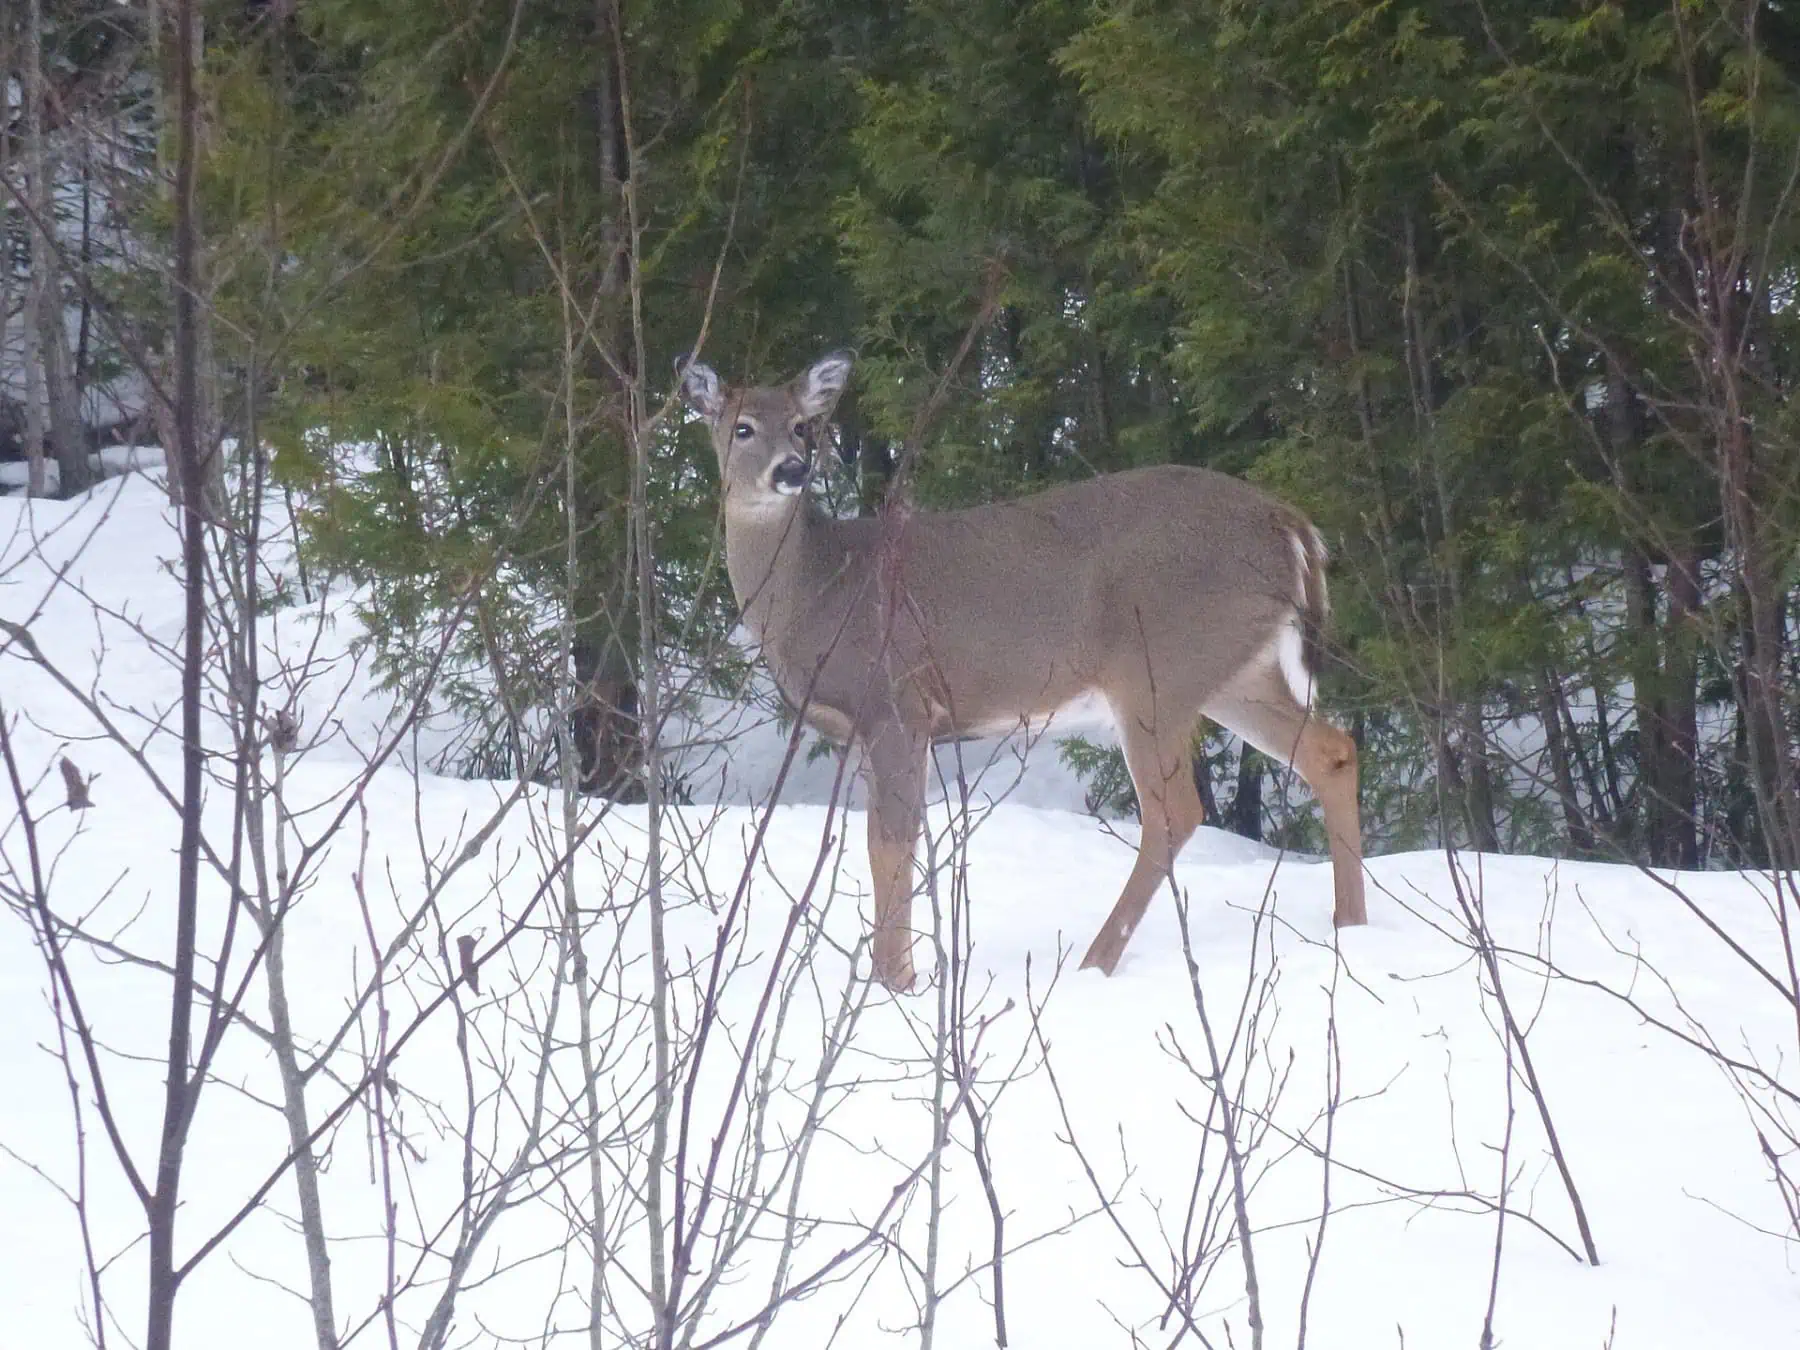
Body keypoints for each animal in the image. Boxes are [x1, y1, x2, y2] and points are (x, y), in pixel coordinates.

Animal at [679, 351, 1366, 992]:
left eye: (802, 426)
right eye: (741, 427)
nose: (791, 469)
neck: (820, 587)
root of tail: (1290, 524)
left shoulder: (897, 700)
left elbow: (889, 844)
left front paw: (893, 983)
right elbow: (886, 841)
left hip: (1156, 669)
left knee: (1174, 811)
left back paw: (1093, 963)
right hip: (1228, 669)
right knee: (1331, 751)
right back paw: (1350, 925)